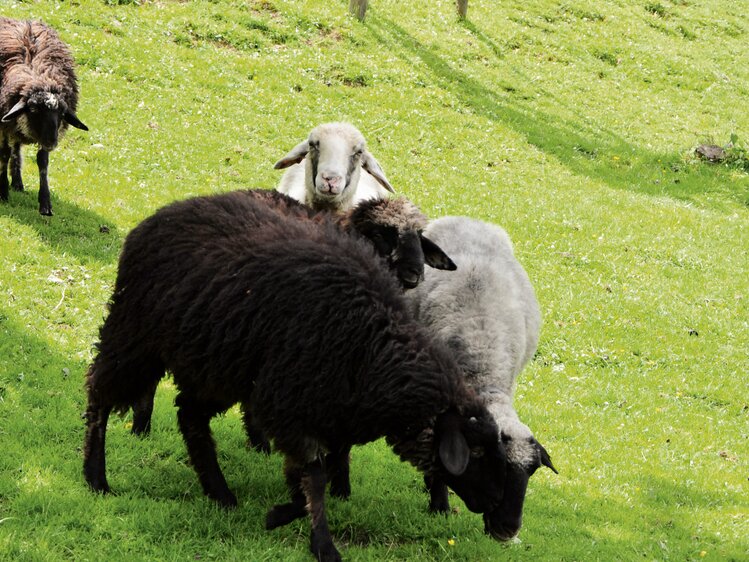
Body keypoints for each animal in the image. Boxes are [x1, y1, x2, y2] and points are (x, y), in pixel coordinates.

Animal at [0, 17, 88, 214]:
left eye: (61, 114)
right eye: (34, 110)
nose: (52, 142)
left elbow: (42, 162)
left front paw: (45, 203)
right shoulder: (3, 125)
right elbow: (4, 154)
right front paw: (2, 193)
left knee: (16, 147)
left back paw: (17, 181)